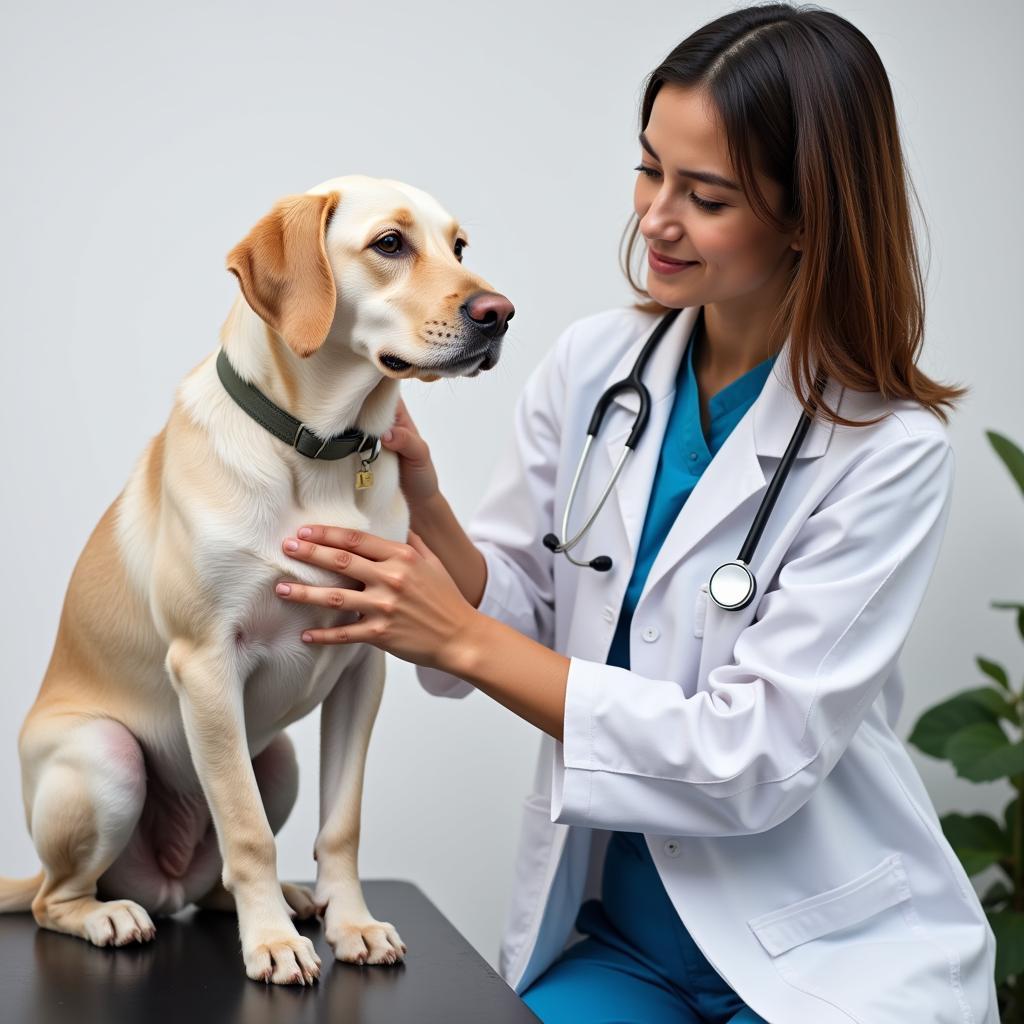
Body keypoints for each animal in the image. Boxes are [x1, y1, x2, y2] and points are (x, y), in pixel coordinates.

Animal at [0, 174, 512, 983]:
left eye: (460, 247)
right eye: (390, 243)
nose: (500, 314)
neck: (320, 453)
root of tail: (164, 881)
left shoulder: (364, 667)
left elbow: (341, 825)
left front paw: (350, 923)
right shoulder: (206, 665)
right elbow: (246, 833)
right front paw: (270, 942)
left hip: (278, 760)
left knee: (212, 880)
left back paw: (290, 901)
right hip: (107, 759)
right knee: (60, 897)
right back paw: (112, 915)